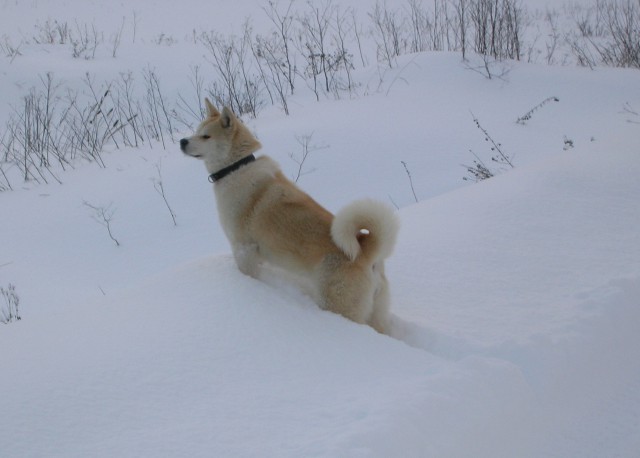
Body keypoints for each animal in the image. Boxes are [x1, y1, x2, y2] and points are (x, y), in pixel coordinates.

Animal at [180, 100, 398, 334]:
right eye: (196, 131)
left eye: (206, 136)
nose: (182, 141)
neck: (235, 168)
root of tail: (367, 252)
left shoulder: (243, 248)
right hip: (376, 312)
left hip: (339, 306)